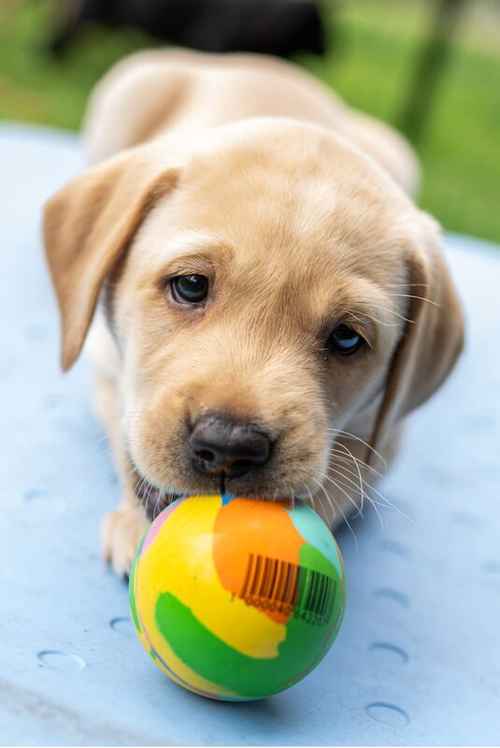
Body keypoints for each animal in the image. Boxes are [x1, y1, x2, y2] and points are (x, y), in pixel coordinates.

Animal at [43, 49, 464, 576]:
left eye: (347, 338)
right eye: (190, 286)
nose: (228, 446)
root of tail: (267, 62)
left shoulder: (385, 438)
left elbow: (340, 481)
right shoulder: (105, 363)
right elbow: (126, 432)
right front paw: (136, 521)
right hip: (132, 84)